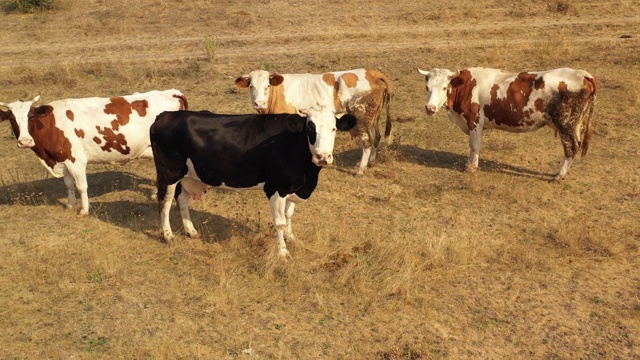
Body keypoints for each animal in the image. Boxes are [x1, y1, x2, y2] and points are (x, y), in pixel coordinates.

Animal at [0, 90, 188, 214]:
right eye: (11, 118)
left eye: (31, 116)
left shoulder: (76, 160)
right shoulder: (63, 159)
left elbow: (82, 186)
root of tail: (171, 92)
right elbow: (68, 184)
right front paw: (70, 204)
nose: (25, 141)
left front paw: (84, 210)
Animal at [151, 106, 360, 258]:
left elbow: (289, 215)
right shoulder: (276, 187)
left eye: (334, 128)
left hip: (186, 175)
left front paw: (291, 238)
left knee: (182, 200)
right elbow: (280, 223)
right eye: (311, 129)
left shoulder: (293, 187)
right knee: (165, 201)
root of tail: (164, 115)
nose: (323, 157)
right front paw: (282, 252)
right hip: (169, 172)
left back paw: (191, 231)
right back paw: (168, 235)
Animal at [236, 69, 390, 176]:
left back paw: (360, 170)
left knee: (367, 142)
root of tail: (372, 72)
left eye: (267, 86)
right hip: (373, 119)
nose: (259, 103)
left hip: (362, 118)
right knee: (376, 137)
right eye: (251, 86)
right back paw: (371, 162)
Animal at [418, 67, 596, 180]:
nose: (430, 108)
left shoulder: (474, 121)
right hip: (575, 124)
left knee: (571, 148)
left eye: (444, 87)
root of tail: (582, 74)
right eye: (427, 87)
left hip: (565, 124)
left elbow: (474, 146)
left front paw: (471, 168)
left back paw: (558, 176)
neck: (465, 86)